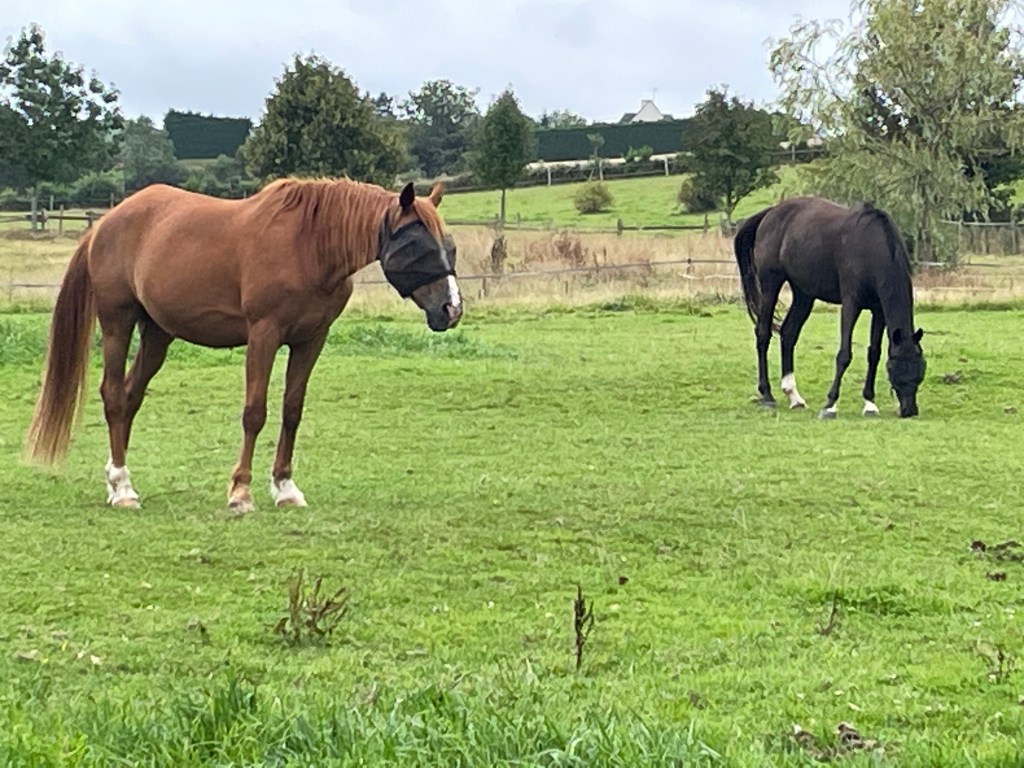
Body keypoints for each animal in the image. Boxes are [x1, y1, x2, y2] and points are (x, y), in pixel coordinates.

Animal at [25, 178, 462, 510]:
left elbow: (292, 411)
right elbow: (255, 412)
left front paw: (285, 487)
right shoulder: (263, 335)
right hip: (119, 322)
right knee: (115, 396)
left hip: (158, 333)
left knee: (131, 397)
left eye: (450, 246)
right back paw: (123, 487)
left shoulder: (311, 340)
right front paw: (241, 491)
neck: (308, 245)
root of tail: (104, 224)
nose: (452, 308)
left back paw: (117, 481)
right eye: (416, 246)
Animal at [732, 195, 926, 419]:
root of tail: (770, 213)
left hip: (804, 295)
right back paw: (767, 395)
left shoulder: (878, 311)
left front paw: (869, 403)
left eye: (920, 370)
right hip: (771, 284)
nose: (909, 410)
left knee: (788, 334)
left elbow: (874, 354)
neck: (871, 246)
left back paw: (794, 396)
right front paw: (830, 405)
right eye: (898, 370)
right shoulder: (851, 304)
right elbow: (844, 354)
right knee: (763, 334)